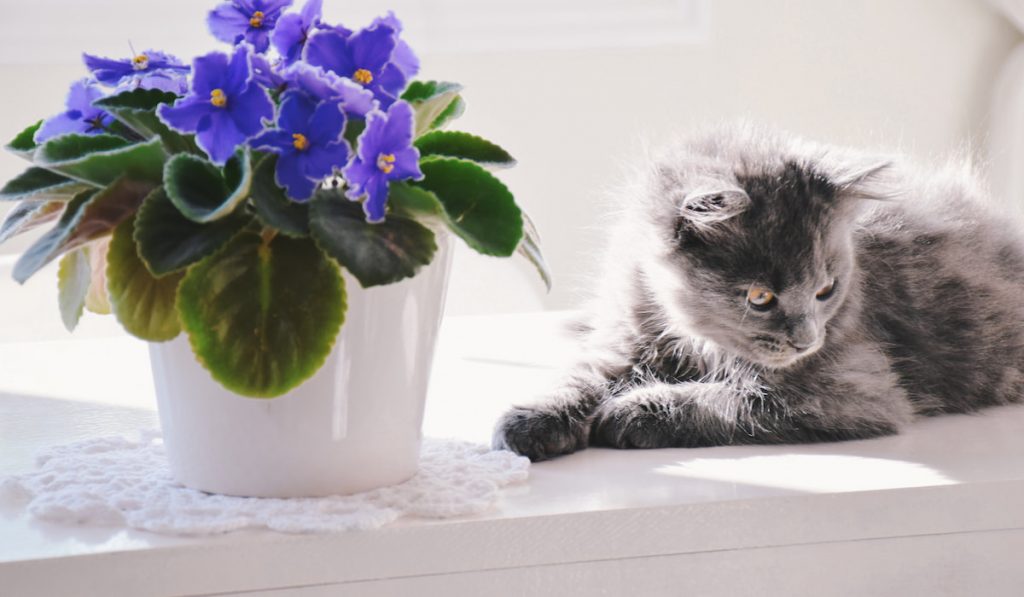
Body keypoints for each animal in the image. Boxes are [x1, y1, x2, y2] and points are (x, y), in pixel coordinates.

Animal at [491, 124, 1024, 462]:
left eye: (826, 290)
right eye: (760, 298)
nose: (806, 340)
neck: (695, 338)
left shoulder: (854, 390)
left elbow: (726, 399)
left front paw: (629, 412)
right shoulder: (623, 340)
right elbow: (580, 380)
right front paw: (532, 420)